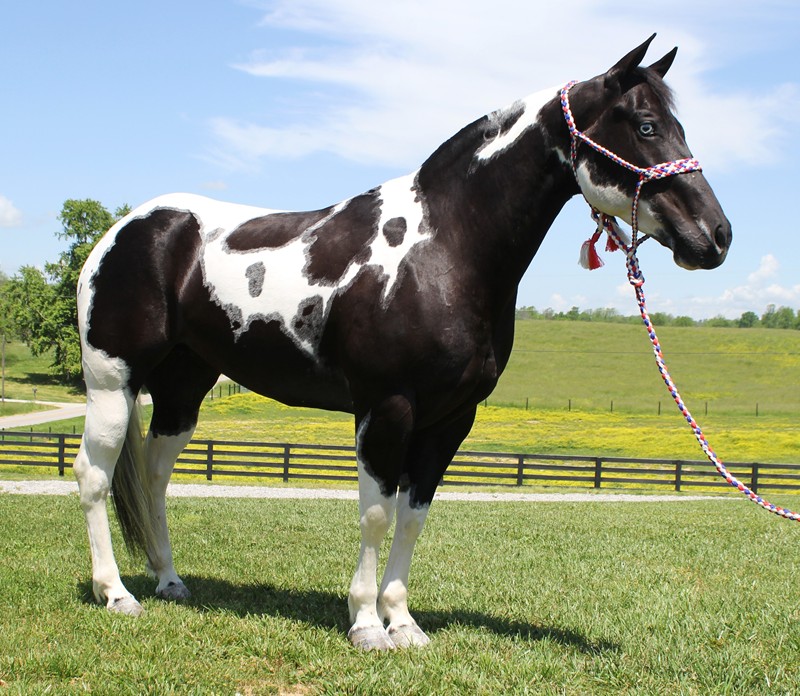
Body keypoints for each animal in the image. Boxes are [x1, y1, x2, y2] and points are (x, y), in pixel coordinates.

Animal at [73, 35, 731, 651]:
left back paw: (169, 581)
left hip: (184, 387)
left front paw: (403, 622)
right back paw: (116, 593)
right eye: (645, 126)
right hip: (112, 380)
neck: (442, 250)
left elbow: (413, 518)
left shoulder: (450, 420)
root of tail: (124, 230)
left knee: (155, 475)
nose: (716, 236)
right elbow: (375, 512)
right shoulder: (385, 408)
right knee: (94, 473)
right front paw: (366, 624)